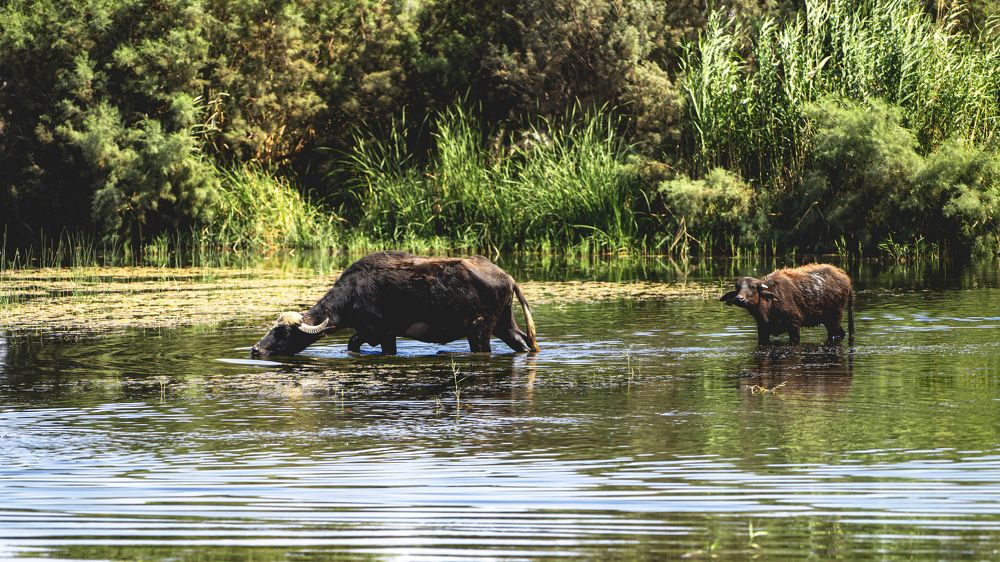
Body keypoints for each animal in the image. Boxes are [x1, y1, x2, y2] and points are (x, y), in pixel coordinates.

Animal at [251, 252, 539, 357]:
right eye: (272, 328)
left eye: (284, 332)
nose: (255, 349)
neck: (354, 294)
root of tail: (507, 277)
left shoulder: (381, 333)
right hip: (504, 325)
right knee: (522, 342)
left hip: (479, 331)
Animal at [720, 263, 855, 344]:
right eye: (737, 288)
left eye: (753, 287)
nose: (739, 298)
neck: (769, 307)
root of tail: (846, 279)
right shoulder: (762, 329)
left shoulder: (794, 325)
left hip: (835, 318)